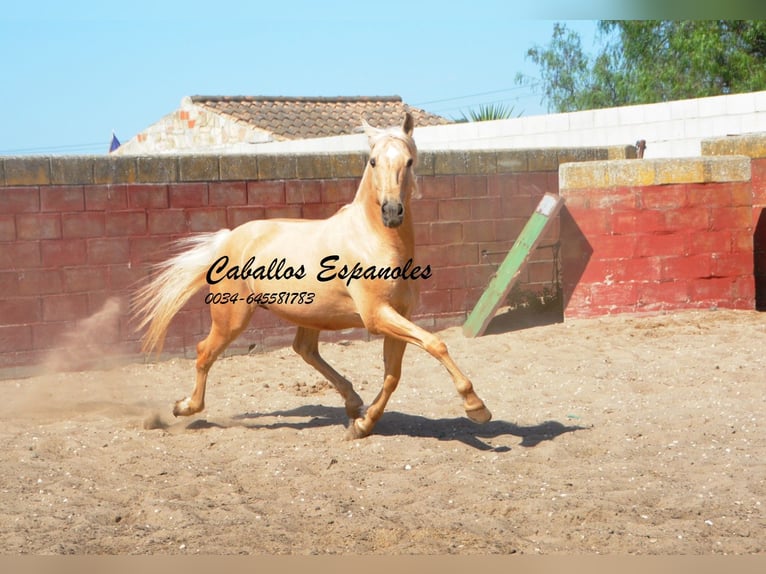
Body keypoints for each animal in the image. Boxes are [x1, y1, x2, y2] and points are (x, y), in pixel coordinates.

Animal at [132, 112, 492, 438]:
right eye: (373, 161)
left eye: (410, 161)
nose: (391, 212)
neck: (374, 240)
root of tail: (230, 237)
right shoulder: (377, 315)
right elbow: (436, 343)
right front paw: (476, 406)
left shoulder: (399, 314)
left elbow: (393, 375)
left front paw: (363, 425)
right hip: (231, 316)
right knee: (204, 352)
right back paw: (184, 407)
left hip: (310, 312)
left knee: (304, 350)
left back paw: (352, 402)